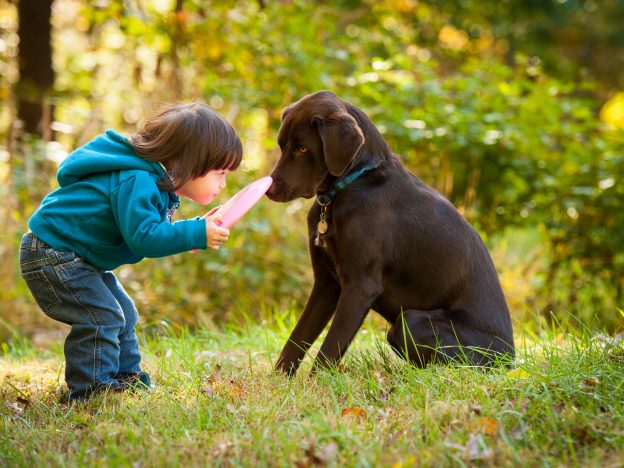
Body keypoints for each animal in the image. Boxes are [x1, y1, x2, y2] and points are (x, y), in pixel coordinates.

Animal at [266, 90, 516, 376]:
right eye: (282, 145)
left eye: (303, 148)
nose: (268, 190)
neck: (353, 183)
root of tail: (510, 359)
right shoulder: (326, 284)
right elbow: (296, 340)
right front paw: (277, 383)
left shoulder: (360, 286)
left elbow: (329, 349)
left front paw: (315, 384)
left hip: (412, 321)